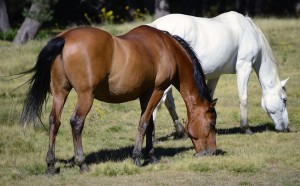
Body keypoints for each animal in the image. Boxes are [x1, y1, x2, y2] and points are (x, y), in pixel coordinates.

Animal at [19, 25, 218, 175]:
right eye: (211, 123)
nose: (212, 152)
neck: (166, 48)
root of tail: (65, 38)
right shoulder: (157, 91)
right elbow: (144, 123)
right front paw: (137, 157)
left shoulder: (145, 94)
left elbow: (149, 124)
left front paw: (151, 156)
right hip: (85, 95)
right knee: (76, 123)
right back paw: (82, 163)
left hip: (60, 93)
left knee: (55, 121)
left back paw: (51, 165)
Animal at [149, 10, 290, 134]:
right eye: (284, 100)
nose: (286, 127)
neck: (249, 31)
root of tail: (155, 27)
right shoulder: (244, 66)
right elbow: (243, 98)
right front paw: (246, 128)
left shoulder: (215, 75)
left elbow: (209, 98)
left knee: (168, 102)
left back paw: (180, 131)